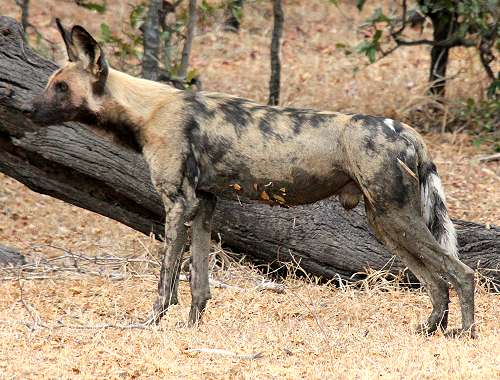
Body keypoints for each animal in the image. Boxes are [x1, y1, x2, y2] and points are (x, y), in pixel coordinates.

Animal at [26, 19, 476, 336]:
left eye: (61, 87)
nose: (28, 109)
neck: (146, 110)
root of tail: (404, 130)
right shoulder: (204, 204)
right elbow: (199, 284)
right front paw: (192, 329)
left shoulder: (177, 205)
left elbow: (166, 281)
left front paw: (151, 324)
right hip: (385, 224)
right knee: (436, 282)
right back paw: (431, 329)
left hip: (397, 218)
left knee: (461, 273)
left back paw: (465, 334)